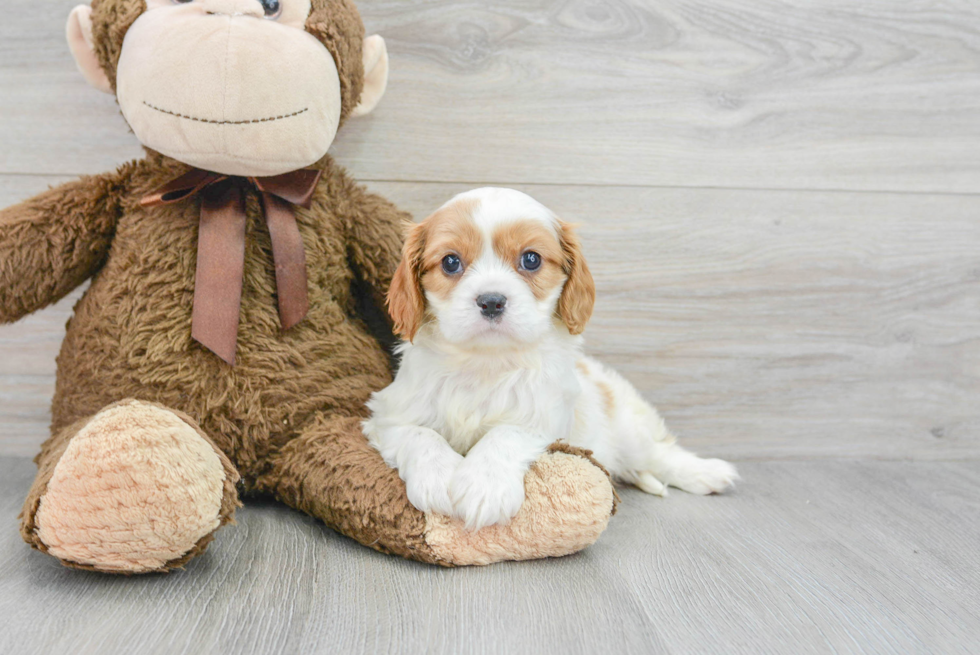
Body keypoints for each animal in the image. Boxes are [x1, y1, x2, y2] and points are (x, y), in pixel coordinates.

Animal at [364, 187, 740, 532]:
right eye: (450, 262)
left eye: (531, 259)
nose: (491, 301)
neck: (486, 362)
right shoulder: (389, 415)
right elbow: (419, 435)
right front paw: (439, 478)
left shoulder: (545, 416)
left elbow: (506, 434)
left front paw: (484, 486)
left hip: (628, 427)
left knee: (660, 454)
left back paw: (708, 473)